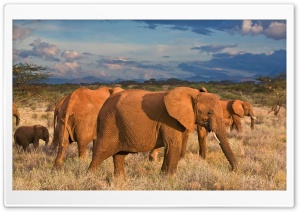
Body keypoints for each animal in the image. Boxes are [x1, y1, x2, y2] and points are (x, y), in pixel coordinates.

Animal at [88, 86, 238, 177]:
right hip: (110, 123)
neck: (193, 94)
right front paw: (170, 179)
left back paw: (120, 181)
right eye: (209, 112)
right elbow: (173, 146)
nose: (232, 170)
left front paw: (162, 176)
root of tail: (102, 108)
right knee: (101, 152)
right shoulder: (169, 119)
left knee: (119, 156)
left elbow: (169, 148)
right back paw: (91, 178)